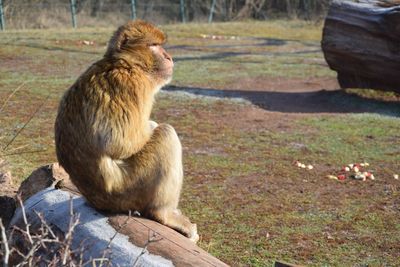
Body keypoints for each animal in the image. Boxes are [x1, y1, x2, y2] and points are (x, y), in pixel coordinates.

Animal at [55, 20, 199, 243]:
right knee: (167, 135)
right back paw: (163, 215)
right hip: (130, 187)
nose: (168, 56)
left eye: (160, 45)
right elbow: (121, 143)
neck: (128, 63)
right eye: (154, 45)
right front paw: (150, 126)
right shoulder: (132, 85)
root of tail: (98, 201)